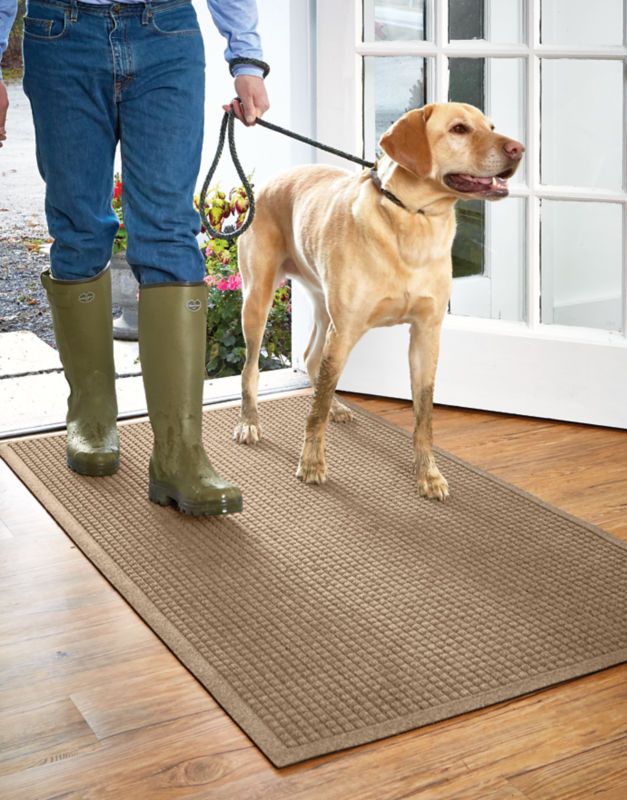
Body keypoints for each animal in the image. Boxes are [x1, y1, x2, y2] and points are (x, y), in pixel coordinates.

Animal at [233, 101, 524, 500]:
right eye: (459, 129)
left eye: (491, 126)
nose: (519, 149)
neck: (415, 220)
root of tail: (268, 182)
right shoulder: (346, 331)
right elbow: (314, 413)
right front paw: (312, 464)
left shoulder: (426, 335)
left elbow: (424, 416)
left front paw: (428, 473)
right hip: (258, 299)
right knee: (251, 369)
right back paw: (249, 422)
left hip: (323, 307)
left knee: (311, 359)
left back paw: (337, 406)